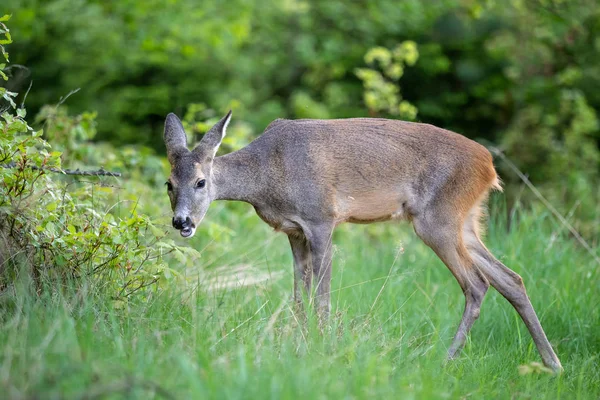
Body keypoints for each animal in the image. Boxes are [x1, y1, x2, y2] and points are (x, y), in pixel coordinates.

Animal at [163, 110, 564, 372]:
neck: (268, 175)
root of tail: (489, 166)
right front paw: (298, 345)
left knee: (477, 284)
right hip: (466, 221)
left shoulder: (322, 217)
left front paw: (322, 348)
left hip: (437, 220)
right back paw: (553, 364)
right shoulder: (293, 231)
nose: (182, 222)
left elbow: (322, 297)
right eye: (168, 183)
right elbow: (299, 296)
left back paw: (446, 360)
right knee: (511, 278)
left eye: (201, 182)